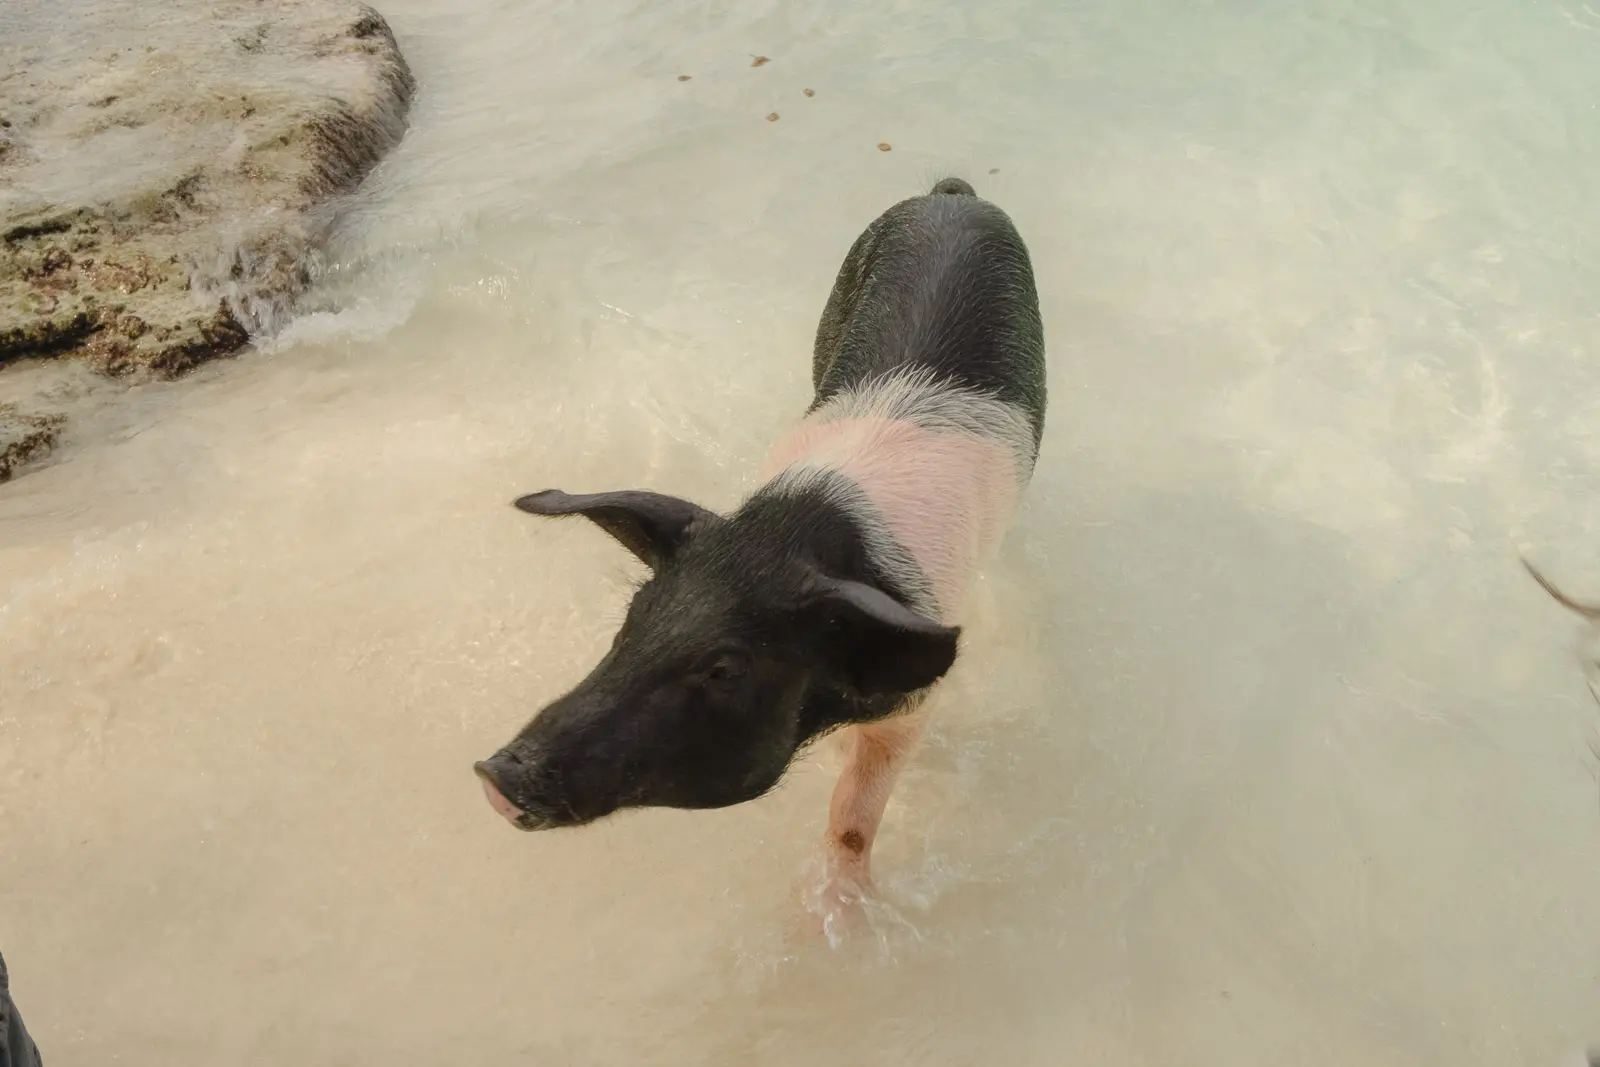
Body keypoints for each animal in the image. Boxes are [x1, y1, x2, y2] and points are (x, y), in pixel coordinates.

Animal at [475, 177, 1045, 902]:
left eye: (725, 669)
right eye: (633, 619)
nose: (495, 776)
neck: (792, 529)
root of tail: (954, 194)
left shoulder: (913, 707)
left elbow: (855, 814)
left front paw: (836, 909)